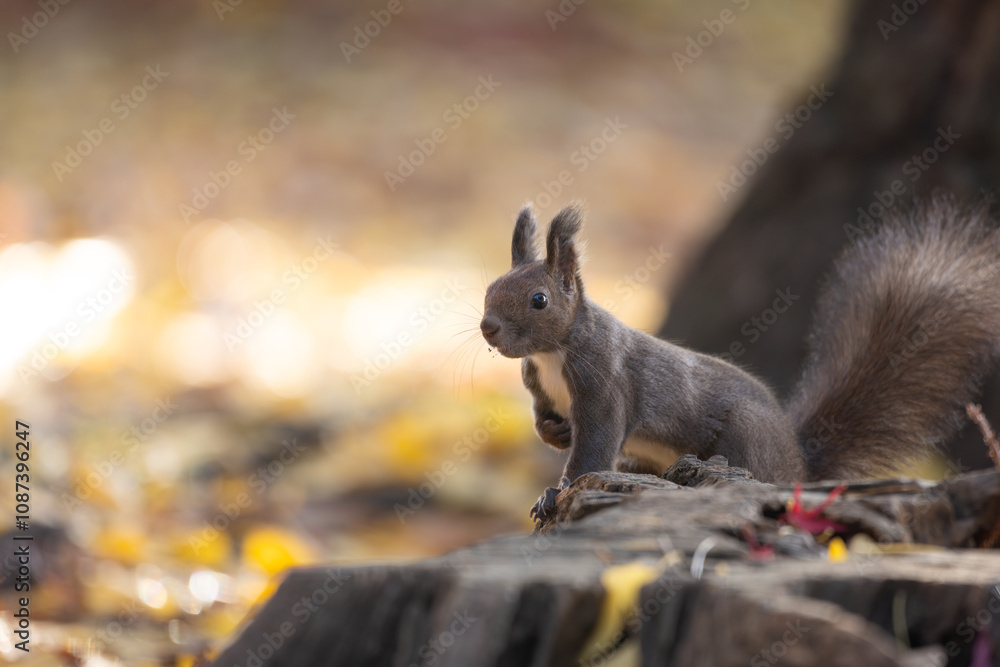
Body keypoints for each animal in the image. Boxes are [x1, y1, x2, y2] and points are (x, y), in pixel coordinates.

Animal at [479, 199, 1000, 522]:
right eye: (490, 288)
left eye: (540, 300)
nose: (487, 328)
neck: (552, 353)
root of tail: (797, 465)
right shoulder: (540, 388)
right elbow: (544, 420)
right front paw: (556, 433)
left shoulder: (605, 385)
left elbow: (593, 450)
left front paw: (555, 492)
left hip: (747, 436)